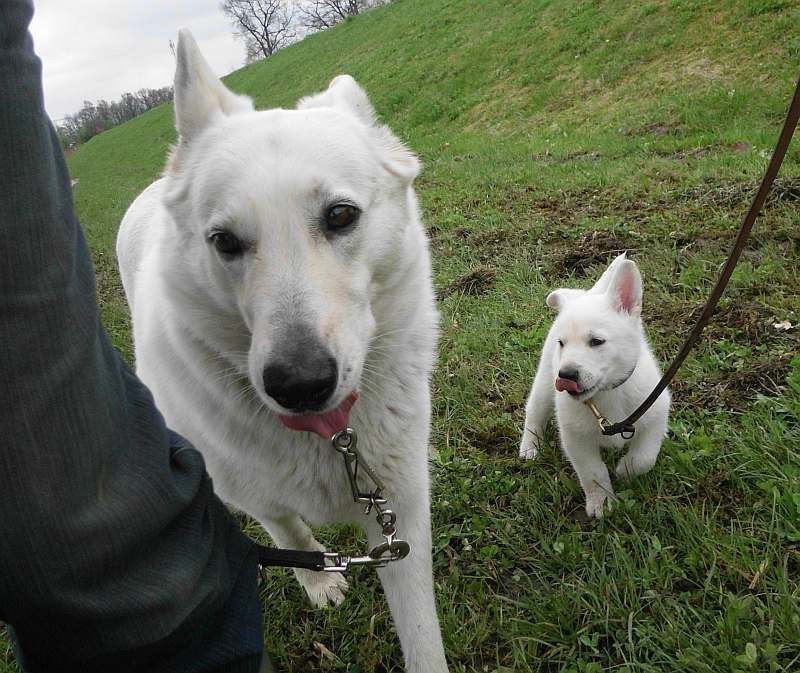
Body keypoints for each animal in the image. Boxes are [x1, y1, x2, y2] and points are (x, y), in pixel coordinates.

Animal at [117, 28, 450, 668]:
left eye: (341, 215)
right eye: (224, 241)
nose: (299, 385)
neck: (336, 444)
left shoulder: (399, 518)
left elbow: (422, 636)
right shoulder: (248, 494)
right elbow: (288, 531)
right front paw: (319, 581)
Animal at [520, 255, 668, 516]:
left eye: (597, 341)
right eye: (562, 343)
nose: (566, 374)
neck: (609, 394)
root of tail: (589, 292)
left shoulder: (656, 413)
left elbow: (644, 458)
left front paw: (624, 470)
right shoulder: (576, 439)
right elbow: (593, 474)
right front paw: (602, 503)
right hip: (544, 383)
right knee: (534, 413)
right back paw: (530, 446)